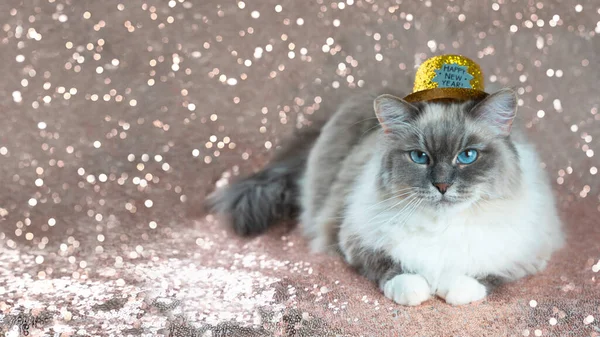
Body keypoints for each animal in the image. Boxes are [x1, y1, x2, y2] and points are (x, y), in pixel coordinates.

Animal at [206, 88, 564, 306]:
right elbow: (392, 269)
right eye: (420, 157)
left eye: (468, 156)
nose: (442, 186)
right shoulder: (354, 240)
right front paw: (418, 290)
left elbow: (483, 276)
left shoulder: (527, 253)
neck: (443, 227)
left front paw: (452, 289)